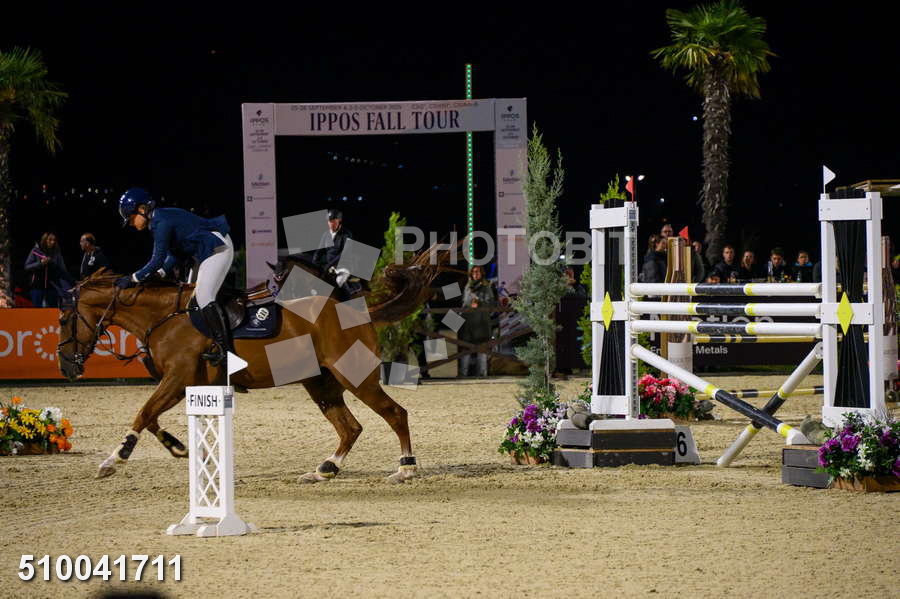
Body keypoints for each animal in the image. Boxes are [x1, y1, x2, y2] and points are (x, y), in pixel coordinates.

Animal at [56, 245, 447, 482]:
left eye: (63, 318)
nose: (66, 367)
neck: (164, 317)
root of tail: (356, 310)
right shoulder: (183, 383)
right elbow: (151, 417)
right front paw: (178, 447)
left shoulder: (177, 378)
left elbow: (143, 412)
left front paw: (113, 460)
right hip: (320, 382)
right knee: (350, 427)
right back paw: (324, 469)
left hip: (354, 377)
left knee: (395, 414)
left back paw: (406, 469)